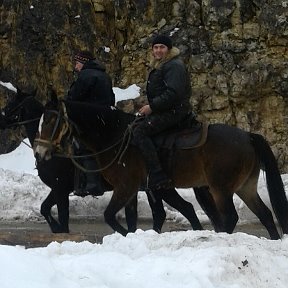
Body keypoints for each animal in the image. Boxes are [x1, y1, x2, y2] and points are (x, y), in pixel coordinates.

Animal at [0, 90, 217, 234]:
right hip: (154, 189)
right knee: (165, 213)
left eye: (10, 105)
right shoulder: (60, 189)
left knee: (185, 209)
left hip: (161, 188)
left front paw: (58, 228)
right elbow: (45, 208)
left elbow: (58, 214)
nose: (40, 153)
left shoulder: (60, 188)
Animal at [33, 98, 288, 240]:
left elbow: (109, 216)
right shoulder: (132, 190)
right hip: (245, 187)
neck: (114, 136)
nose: (39, 152)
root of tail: (248, 136)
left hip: (220, 189)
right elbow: (130, 218)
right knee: (266, 215)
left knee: (230, 217)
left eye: (52, 120)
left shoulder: (125, 187)